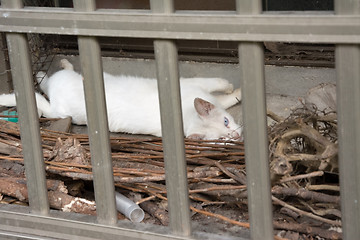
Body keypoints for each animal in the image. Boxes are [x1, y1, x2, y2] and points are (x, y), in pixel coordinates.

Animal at [0, 58, 243, 140]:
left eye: (226, 123)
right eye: (224, 133)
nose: (237, 135)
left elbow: (221, 98)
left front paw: (234, 93)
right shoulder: (191, 83)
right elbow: (219, 85)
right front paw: (234, 90)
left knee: (45, 84)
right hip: (58, 108)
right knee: (45, 86)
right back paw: (47, 71)